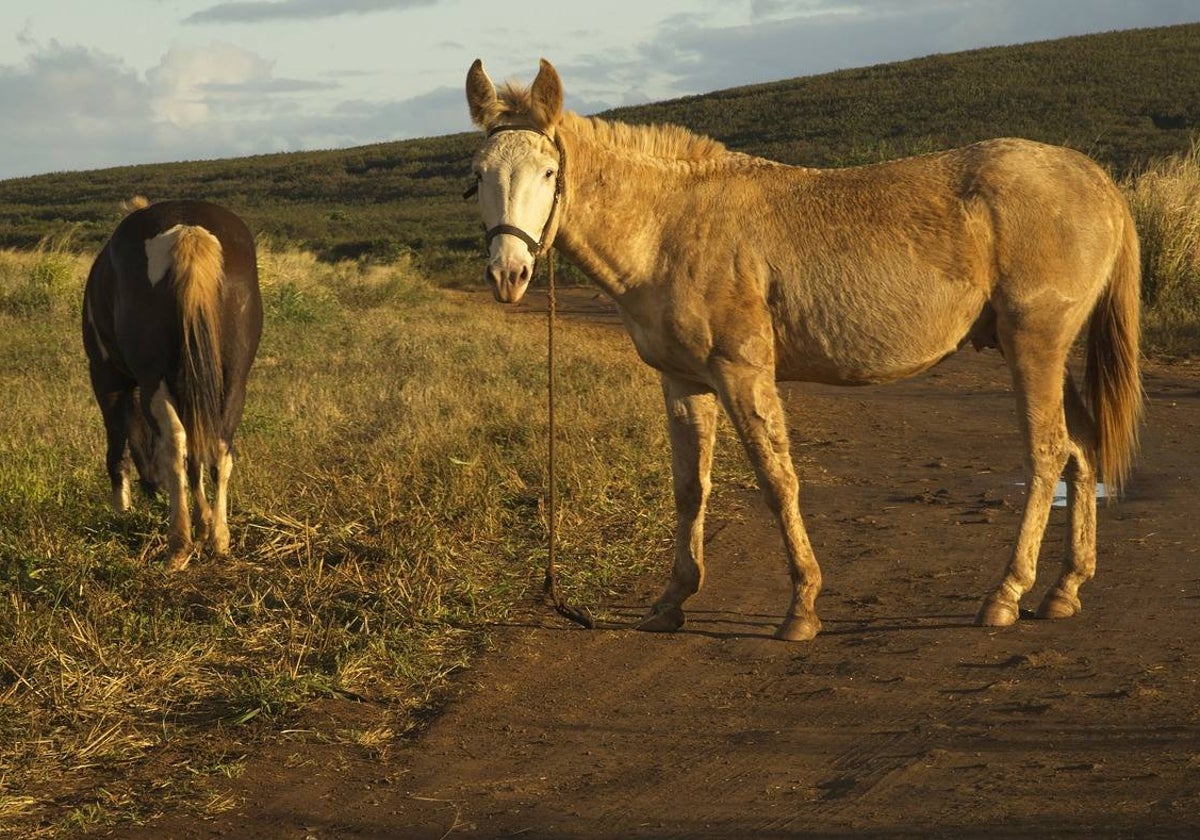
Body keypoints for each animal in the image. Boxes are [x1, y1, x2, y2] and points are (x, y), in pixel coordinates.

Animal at [84, 196, 262, 571]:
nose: (154, 491)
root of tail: (188, 231)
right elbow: (198, 455)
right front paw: (204, 520)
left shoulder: (106, 377)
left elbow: (117, 446)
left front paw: (120, 513)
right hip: (233, 381)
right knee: (219, 448)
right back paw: (219, 539)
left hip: (152, 381)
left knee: (175, 443)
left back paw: (178, 546)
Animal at [463, 59, 1137, 638]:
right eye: (478, 176)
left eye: (549, 173)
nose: (508, 274)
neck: (671, 227)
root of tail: (1097, 181)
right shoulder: (683, 382)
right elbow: (689, 487)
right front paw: (672, 600)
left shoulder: (742, 373)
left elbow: (776, 479)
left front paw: (802, 605)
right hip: (1047, 351)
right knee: (1080, 451)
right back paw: (1063, 590)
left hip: (1033, 346)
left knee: (1047, 453)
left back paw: (1005, 594)